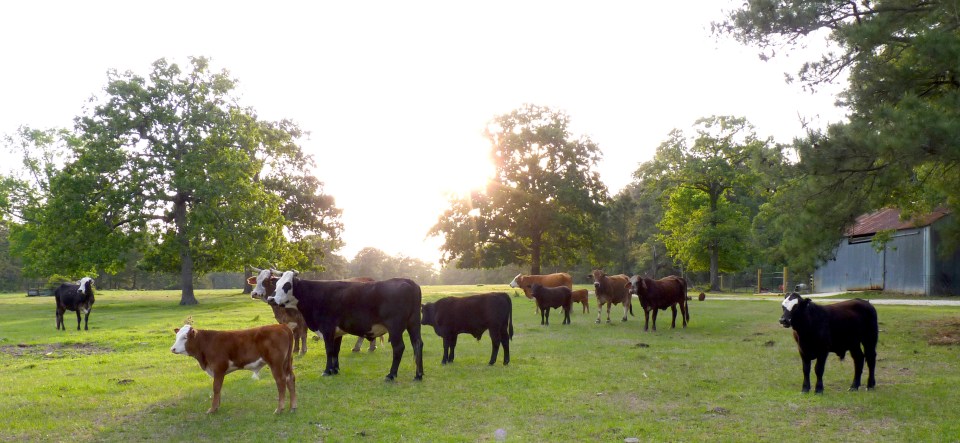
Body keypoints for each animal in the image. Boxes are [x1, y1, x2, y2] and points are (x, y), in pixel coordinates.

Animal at [270, 270, 424, 381]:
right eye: (276, 285)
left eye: (287, 285)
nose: (271, 299)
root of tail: (408, 281)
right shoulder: (337, 332)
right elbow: (335, 351)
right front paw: (335, 370)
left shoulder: (327, 329)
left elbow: (329, 350)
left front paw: (327, 371)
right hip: (414, 323)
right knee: (418, 344)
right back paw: (419, 375)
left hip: (395, 327)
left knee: (399, 347)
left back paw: (391, 375)